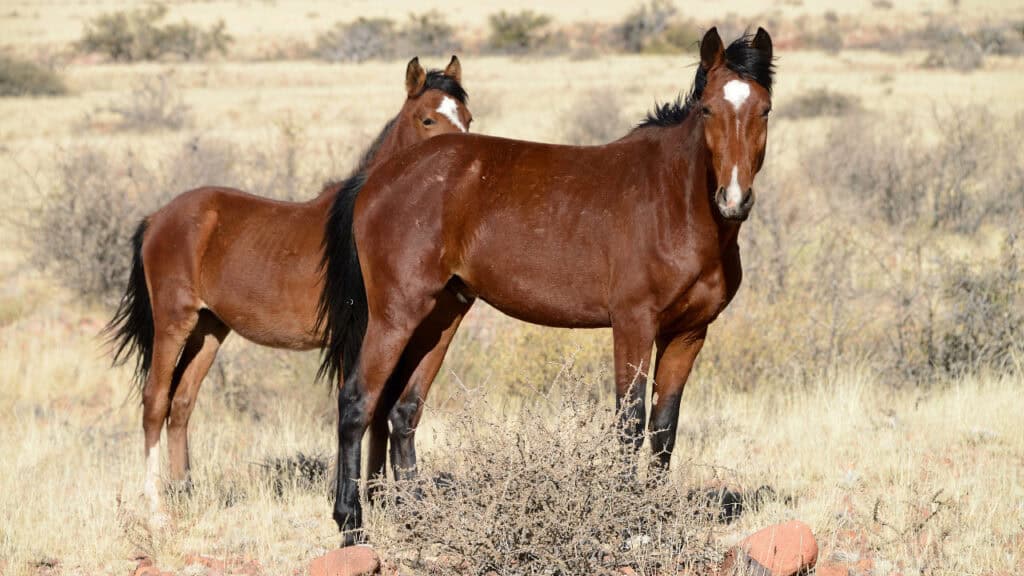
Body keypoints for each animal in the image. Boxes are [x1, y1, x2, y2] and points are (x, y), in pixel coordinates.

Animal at [103, 56, 471, 522]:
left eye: (468, 118)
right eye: (427, 118)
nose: (460, 166)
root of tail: (157, 218)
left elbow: (377, 413)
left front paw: (373, 498)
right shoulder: (357, 339)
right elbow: (363, 409)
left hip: (210, 329)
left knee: (182, 404)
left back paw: (185, 492)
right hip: (174, 323)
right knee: (155, 401)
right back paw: (156, 508)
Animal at [319, 26, 774, 537]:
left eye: (764, 109)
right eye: (708, 109)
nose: (733, 199)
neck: (674, 201)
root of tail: (376, 179)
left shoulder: (689, 333)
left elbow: (664, 427)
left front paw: (654, 518)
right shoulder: (634, 325)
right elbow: (630, 422)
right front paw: (627, 520)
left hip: (442, 315)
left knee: (404, 409)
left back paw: (421, 518)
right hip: (396, 314)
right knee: (358, 402)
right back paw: (351, 523)